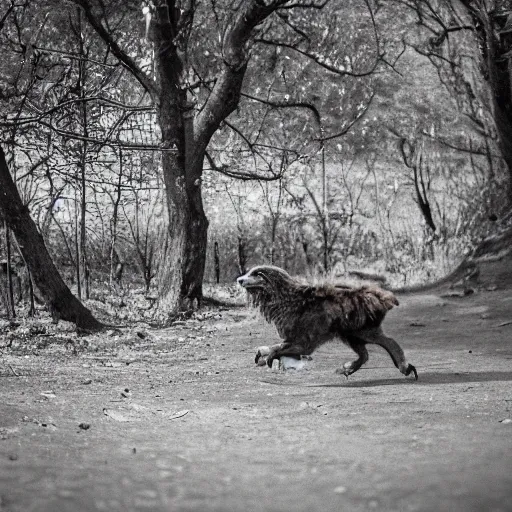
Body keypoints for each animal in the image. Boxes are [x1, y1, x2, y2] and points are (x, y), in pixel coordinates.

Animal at [238, 268, 418, 380]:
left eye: (256, 274)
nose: (239, 279)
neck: (290, 301)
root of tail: (381, 297)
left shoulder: (305, 341)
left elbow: (282, 348)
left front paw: (269, 357)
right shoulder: (297, 339)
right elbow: (277, 346)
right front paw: (263, 354)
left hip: (362, 331)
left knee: (388, 342)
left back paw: (404, 366)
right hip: (352, 334)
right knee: (366, 354)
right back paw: (348, 368)